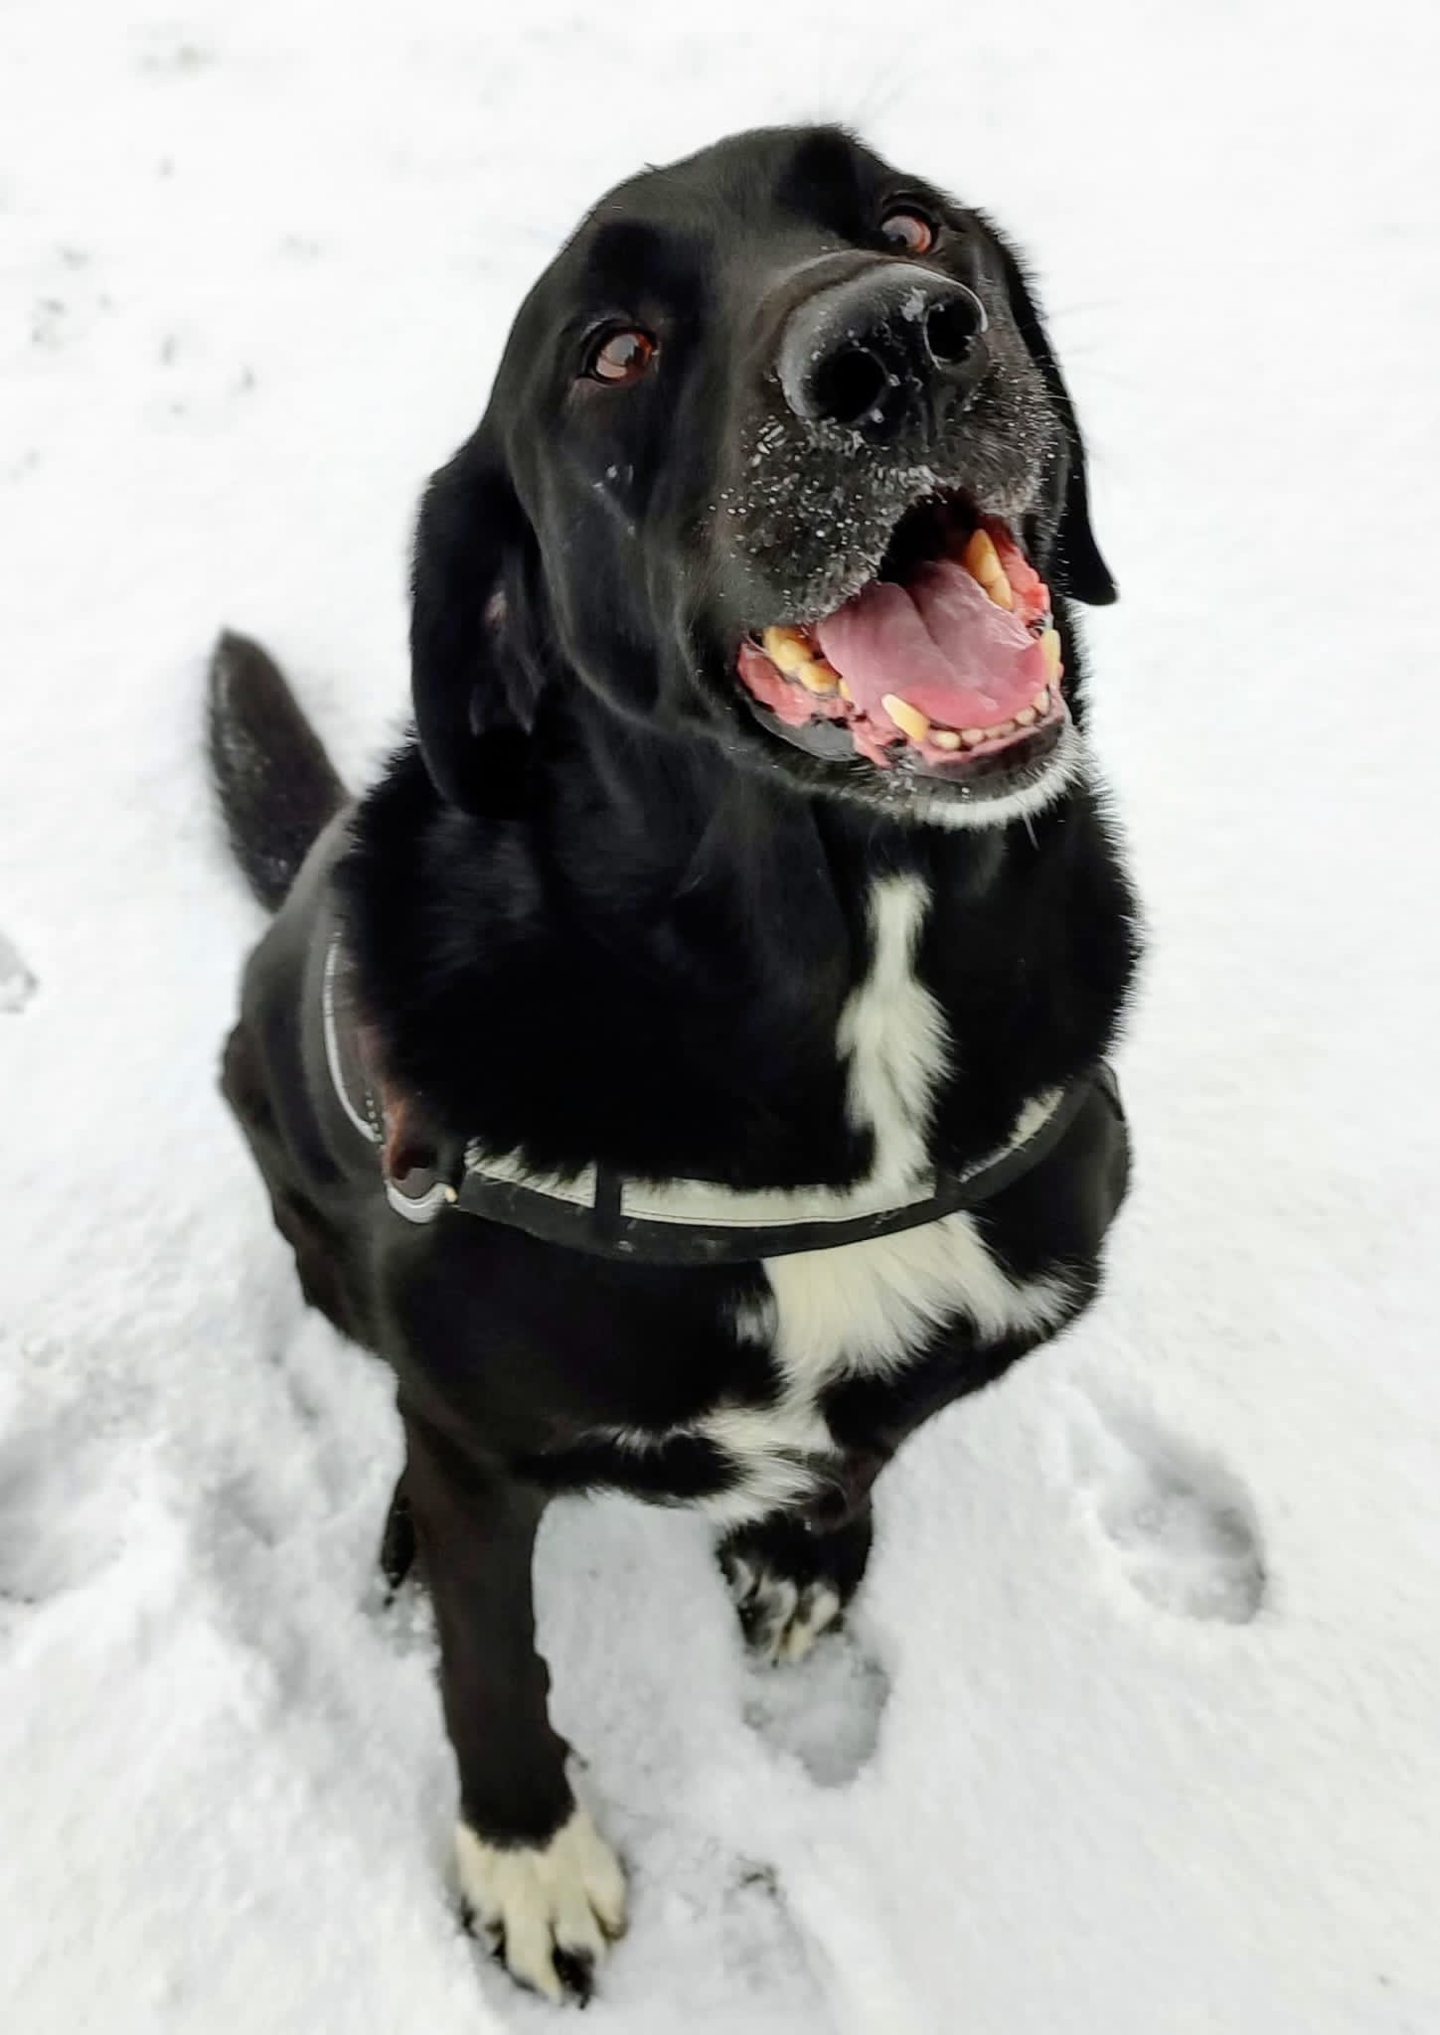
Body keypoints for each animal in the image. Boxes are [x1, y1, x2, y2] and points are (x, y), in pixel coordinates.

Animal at [210, 127, 1138, 2002]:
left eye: (911, 221)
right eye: (614, 353)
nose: (896, 339)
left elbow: (868, 1438)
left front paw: (804, 1550)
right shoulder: (474, 1427)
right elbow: (491, 1652)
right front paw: (528, 1854)